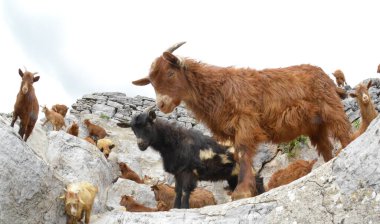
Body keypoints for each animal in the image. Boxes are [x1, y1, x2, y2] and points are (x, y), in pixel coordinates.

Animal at [132, 41, 352, 200]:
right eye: (152, 83)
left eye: (170, 73)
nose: (162, 104)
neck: (217, 88)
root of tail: (324, 74)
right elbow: (237, 155)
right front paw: (247, 189)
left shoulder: (245, 121)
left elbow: (244, 151)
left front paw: (242, 191)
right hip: (316, 126)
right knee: (325, 146)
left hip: (331, 108)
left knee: (343, 131)